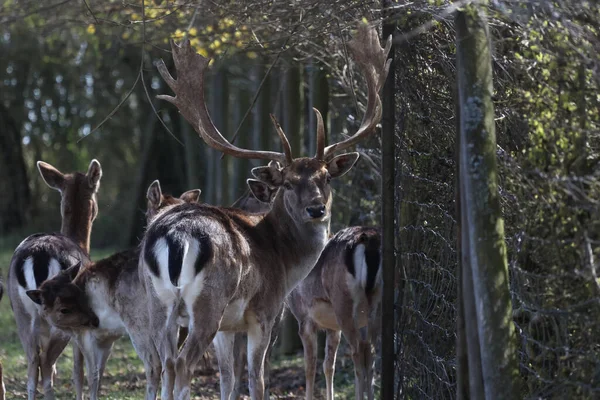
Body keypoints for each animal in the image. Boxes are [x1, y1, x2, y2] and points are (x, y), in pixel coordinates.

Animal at [6, 159, 102, 400]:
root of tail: (37, 256)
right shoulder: (81, 319)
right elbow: (79, 369)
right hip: (58, 319)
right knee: (46, 365)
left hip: (21, 313)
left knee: (33, 367)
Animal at [27, 181, 202, 400]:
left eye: (64, 309)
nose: (93, 320)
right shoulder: (106, 337)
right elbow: (97, 372)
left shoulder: (86, 335)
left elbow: (90, 373)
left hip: (140, 323)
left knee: (155, 364)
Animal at [288, 227, 382, 398]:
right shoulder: (333, 327)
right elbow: (328, 365)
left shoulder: (304, 320)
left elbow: (310, 366)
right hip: (377, 306)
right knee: (370, 349)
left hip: (343, 306)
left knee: (357, 351)